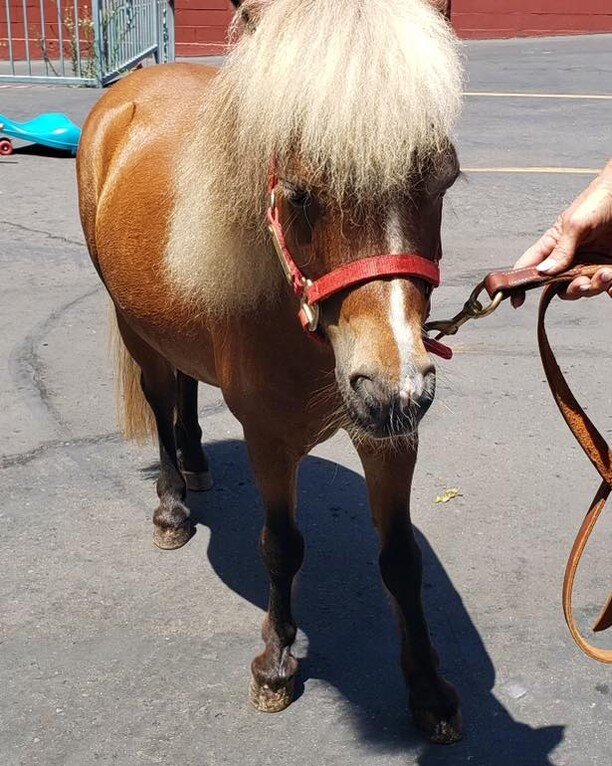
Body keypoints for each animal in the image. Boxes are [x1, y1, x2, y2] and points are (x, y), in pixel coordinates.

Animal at [79, 0, 466, 748]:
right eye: (302, 194)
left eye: (442, 180)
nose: (399, 391)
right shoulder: (269, 440)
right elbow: (282, 548)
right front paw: (278, 664)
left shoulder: (387, 438)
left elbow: (400, 560)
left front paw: (430, 689)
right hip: (135, 327)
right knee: (160, 397)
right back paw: (173, 504)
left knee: (187, 386)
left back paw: (198, 461)